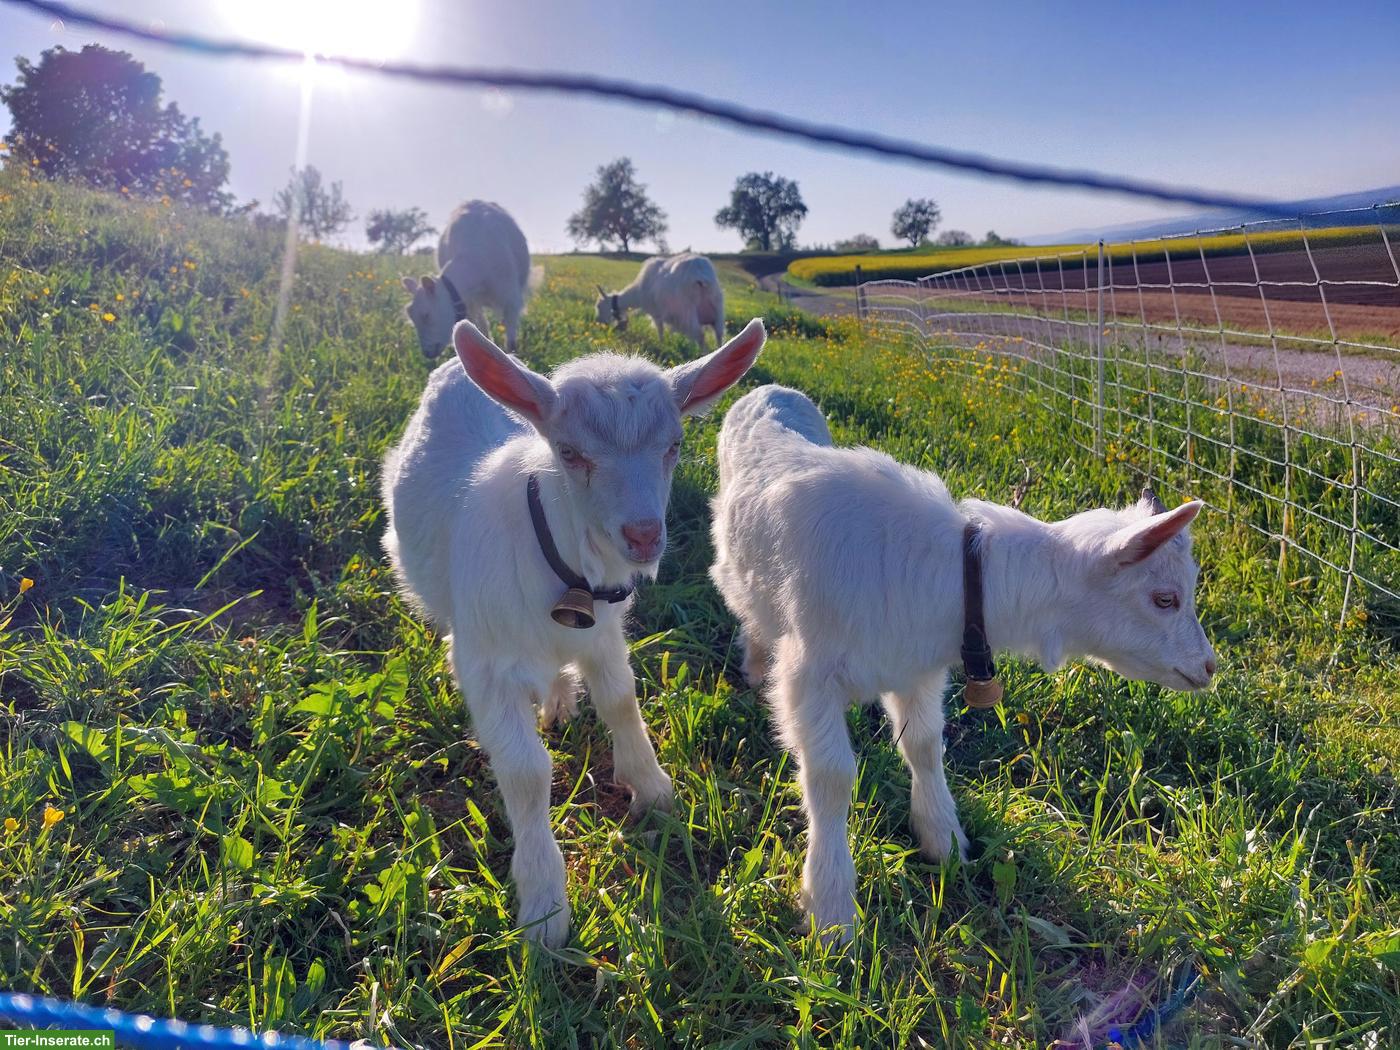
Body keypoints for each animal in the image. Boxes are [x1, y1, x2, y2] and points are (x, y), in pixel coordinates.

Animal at [381, 317, 766, 946]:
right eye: (570, 452)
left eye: (673, 445)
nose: (643, 536)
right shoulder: (487, 666)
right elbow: (526, 771)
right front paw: (544, 908)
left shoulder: (603, 635)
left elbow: (621, 700)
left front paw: (652, 787)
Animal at [595, 253, 725, 351]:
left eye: (599, 306)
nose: (599, 323)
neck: (638, 291)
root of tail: (700, 272)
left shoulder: (656, 314)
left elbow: (660, 330)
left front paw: (662, 345)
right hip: (717, 307)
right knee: (719, 334)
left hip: (687, 311)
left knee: (700, 336)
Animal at [709, 384, 1217, 938]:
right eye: (1165, 599)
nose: (1209, 668)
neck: (953, 576)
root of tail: (767, 389)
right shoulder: (810, 677)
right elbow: (831, 777)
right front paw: (831, 908)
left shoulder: (917, 672)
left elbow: (925, 745)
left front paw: (943, 839)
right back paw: (755, 666)